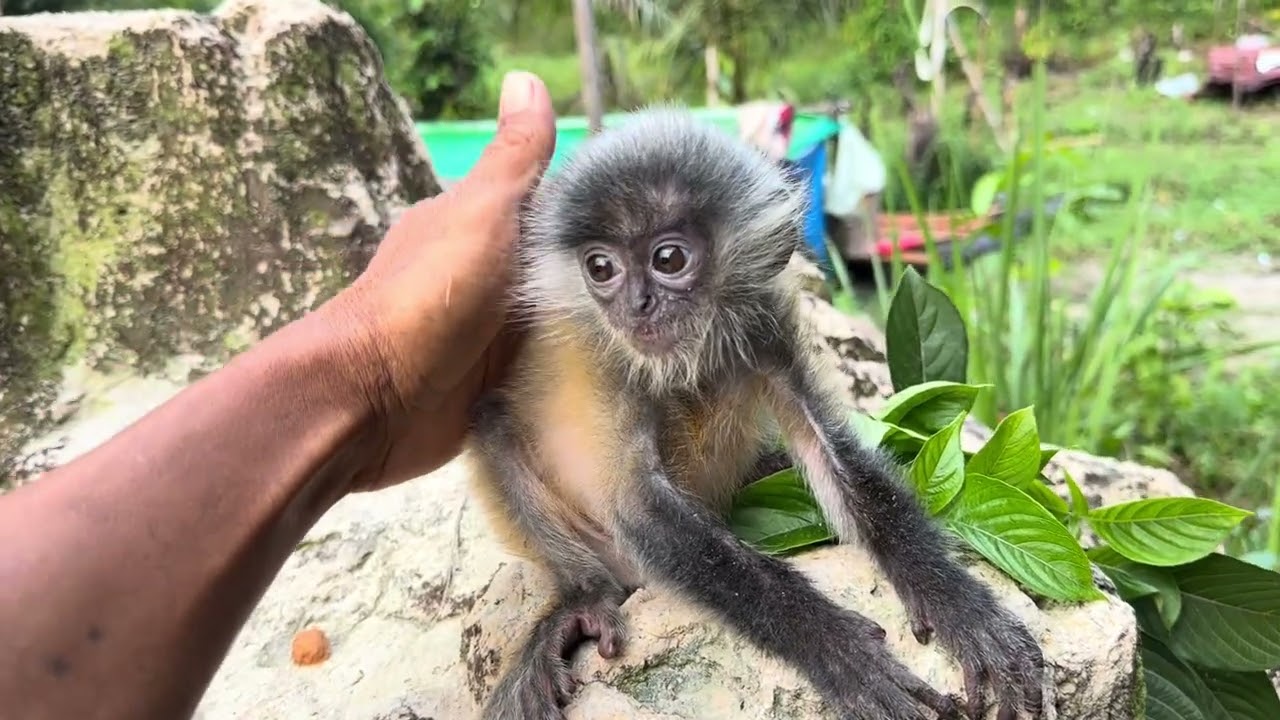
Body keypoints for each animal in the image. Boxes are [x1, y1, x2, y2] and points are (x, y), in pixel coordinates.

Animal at [462, 109, 1046, 720]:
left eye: (668, 259)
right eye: (601, 268)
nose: (636, 304)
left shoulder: (766, 321)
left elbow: (829, 448)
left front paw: (960, 606)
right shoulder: (606, 356)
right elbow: (639, 507)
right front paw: (840, 652)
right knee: (493, 424)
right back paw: (583, 597)